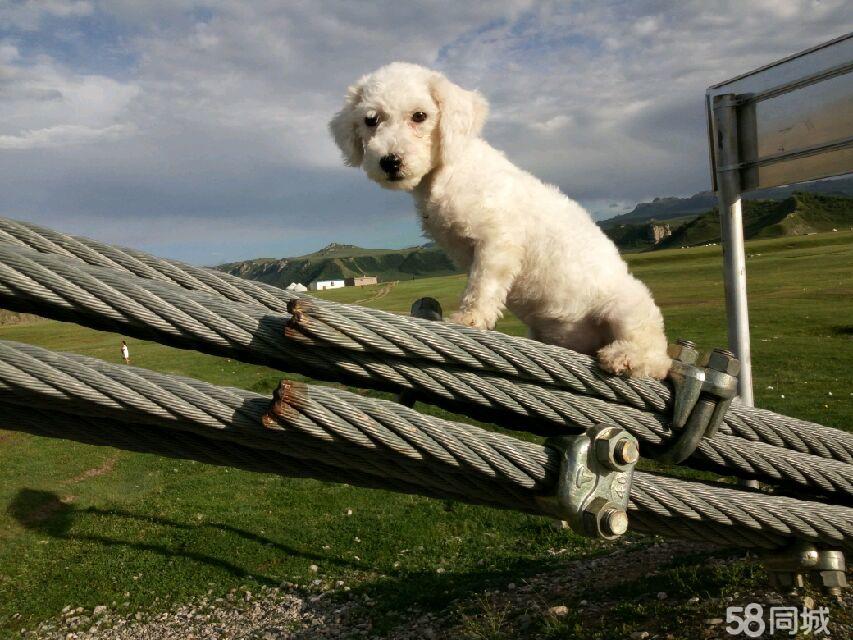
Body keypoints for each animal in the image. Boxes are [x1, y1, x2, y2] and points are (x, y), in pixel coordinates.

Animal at [330, 62, 668, 378]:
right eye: (370, 120)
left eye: (419, 116)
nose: (389, 161)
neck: (449, 170)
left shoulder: (497, 241)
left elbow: (482, 286)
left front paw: (469, 319)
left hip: (626, 308)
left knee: (655, 357)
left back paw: (625, 356)